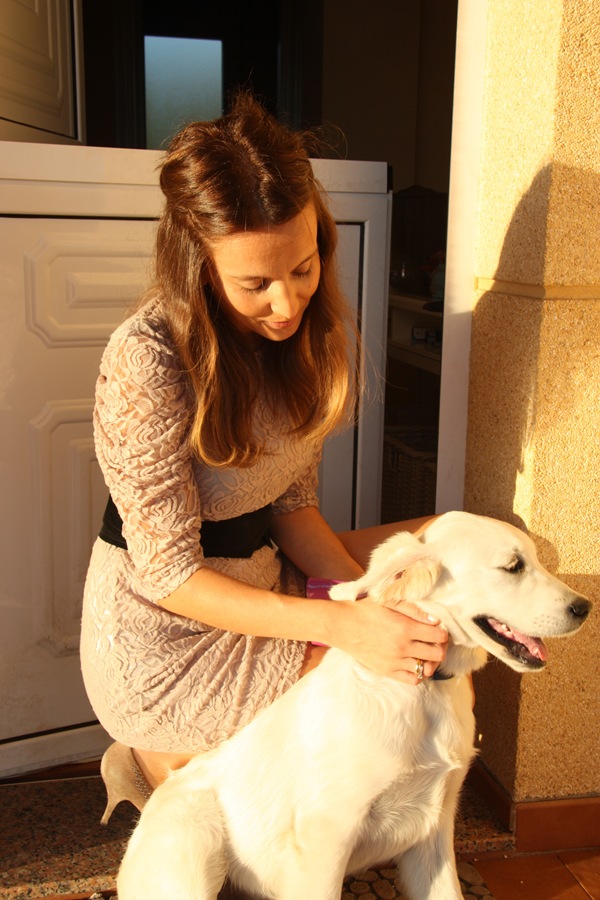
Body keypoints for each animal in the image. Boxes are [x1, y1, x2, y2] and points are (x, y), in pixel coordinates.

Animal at [116, 511, 592, 900]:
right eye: (513, 567)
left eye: (536, 559)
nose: (584, 607)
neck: (424, 694)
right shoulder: (325, 838)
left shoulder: (434, 833)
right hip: (194, 845)